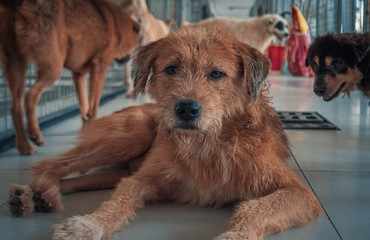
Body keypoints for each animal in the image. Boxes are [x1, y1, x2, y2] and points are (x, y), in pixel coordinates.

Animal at [0, 0, 139, 155]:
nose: (128, 60)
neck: (116, 24)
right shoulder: (99, 69)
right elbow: (94, 105)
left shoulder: (79, 74)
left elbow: (84, 105)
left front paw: (86, 126)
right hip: (54, 68)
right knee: (30, 96)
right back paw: (36, 135)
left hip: (17, 66)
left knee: (15, 108)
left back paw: (24, 147)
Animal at [7, 25, 320, 239]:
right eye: (171, 69)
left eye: (217, 74)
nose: (186, 109)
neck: (209, 143)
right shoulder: (143, 179)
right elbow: (118, 202)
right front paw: (88, 225)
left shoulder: (301, 193)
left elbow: (254, 208)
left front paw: (236, 235)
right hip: (130, 138)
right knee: (53, 164)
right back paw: (40, 192)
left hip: (118, 167)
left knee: (78, 178)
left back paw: (34, 196)